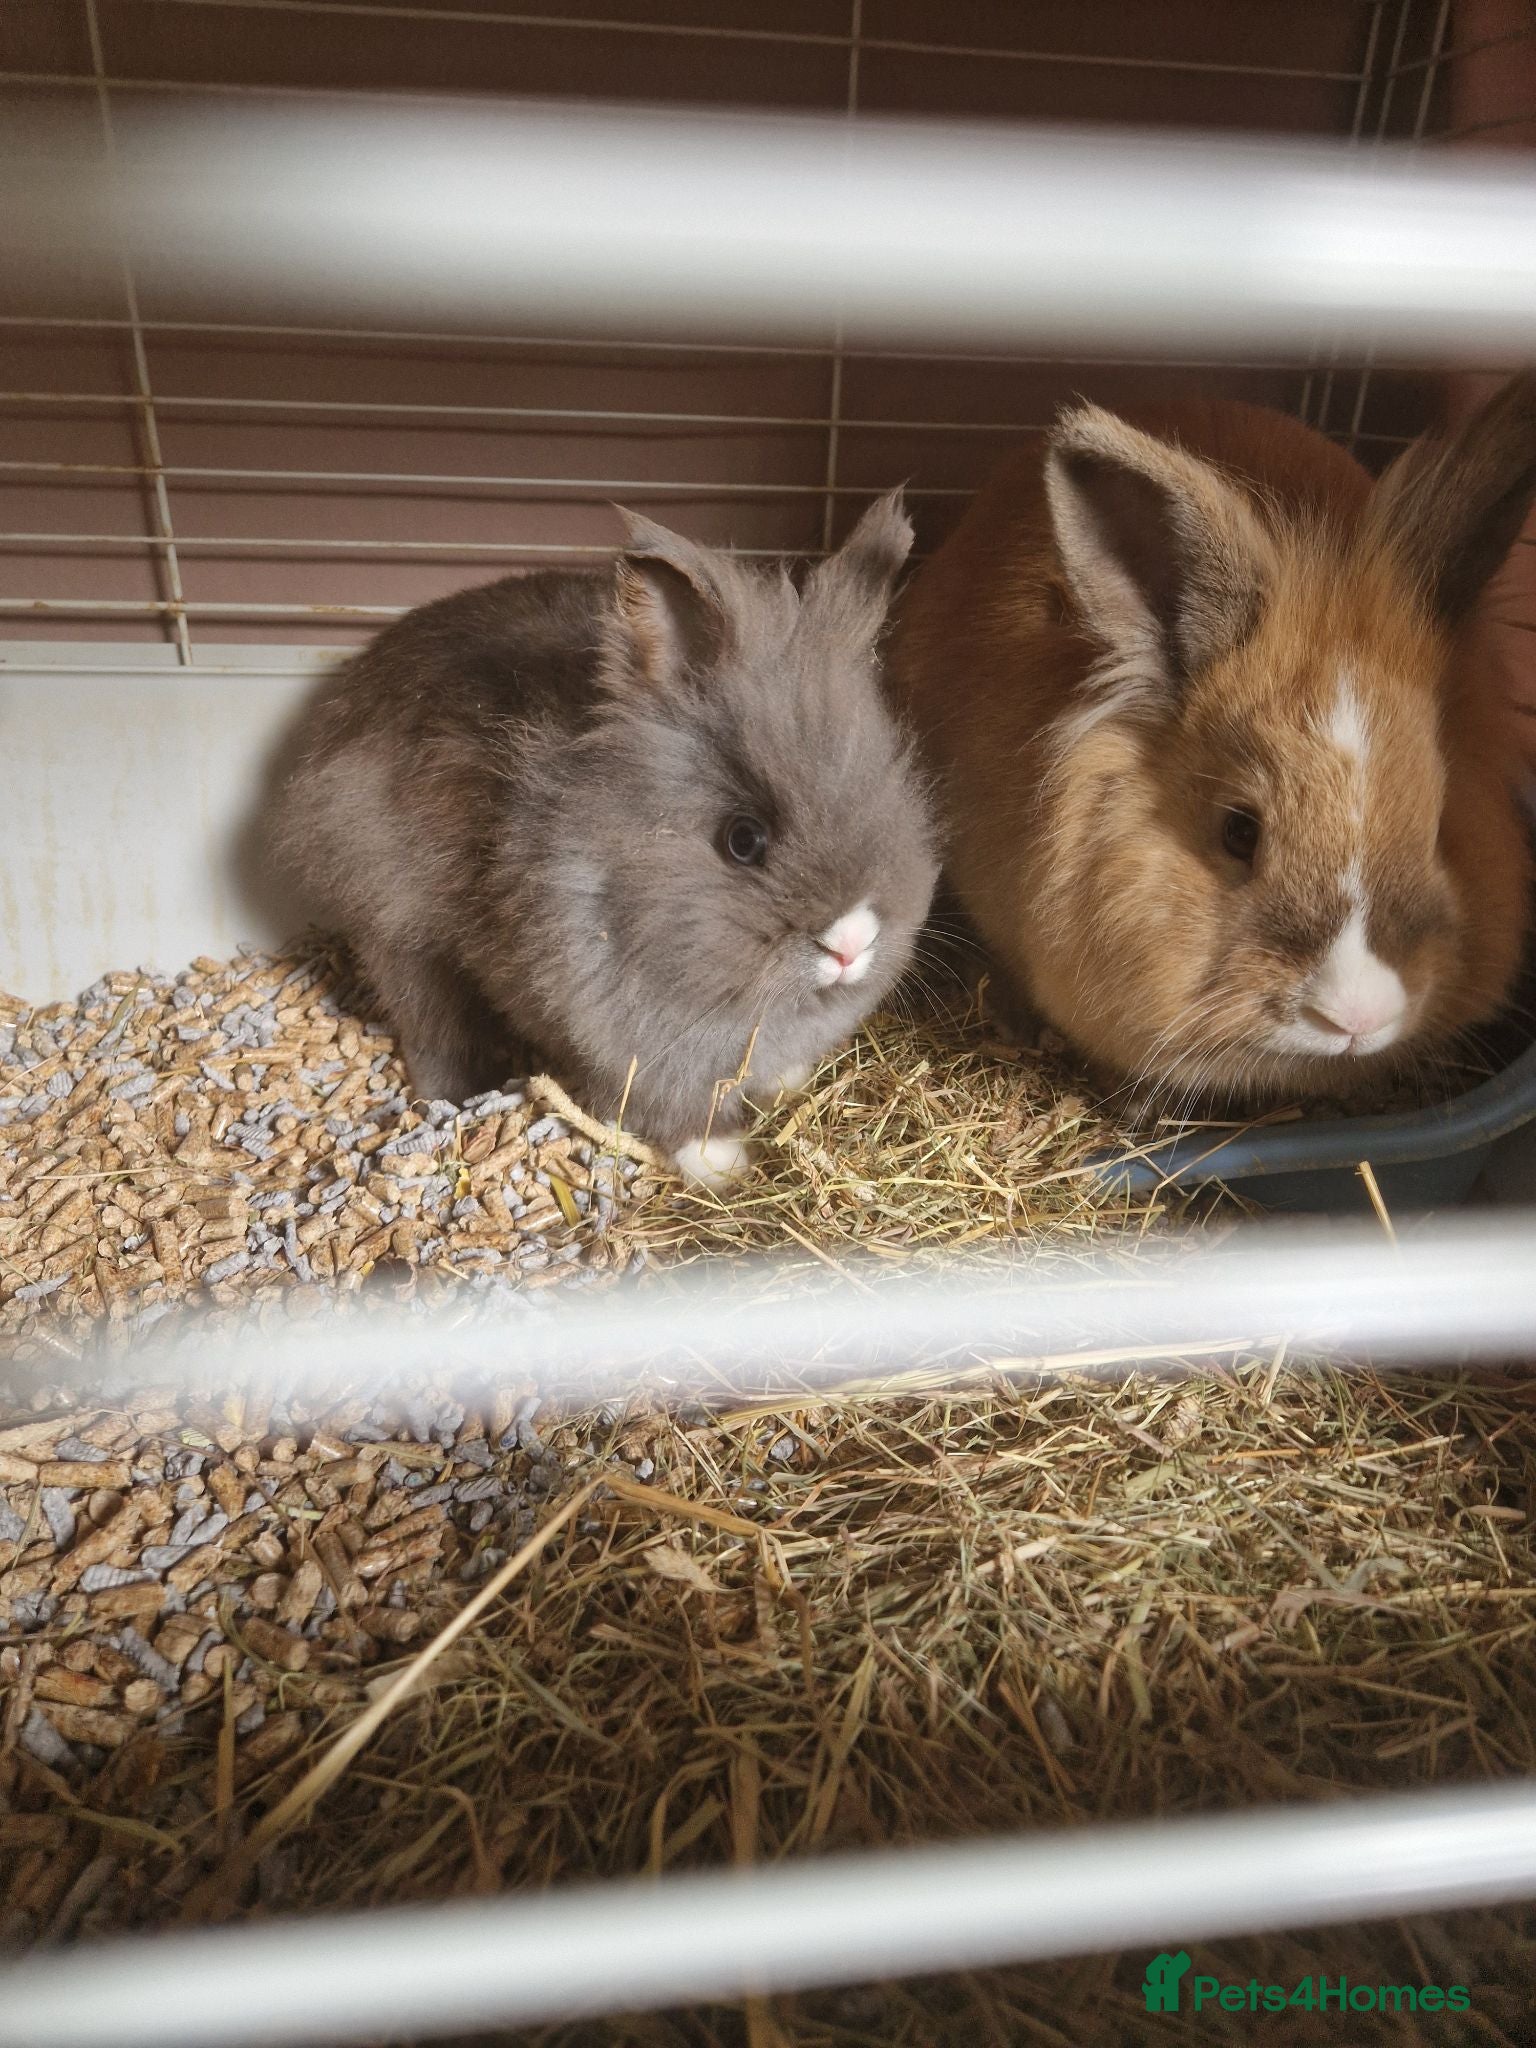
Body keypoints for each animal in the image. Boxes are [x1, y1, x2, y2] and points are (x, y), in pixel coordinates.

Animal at [270, 493, 939, 1186]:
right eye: (743, 839)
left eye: (895, 794)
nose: (851, 942)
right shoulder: (628, 1048)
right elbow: (665, 1108)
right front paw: (723, 1164)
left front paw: (786, 1086)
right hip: (398, 932)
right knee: (427, 1022)